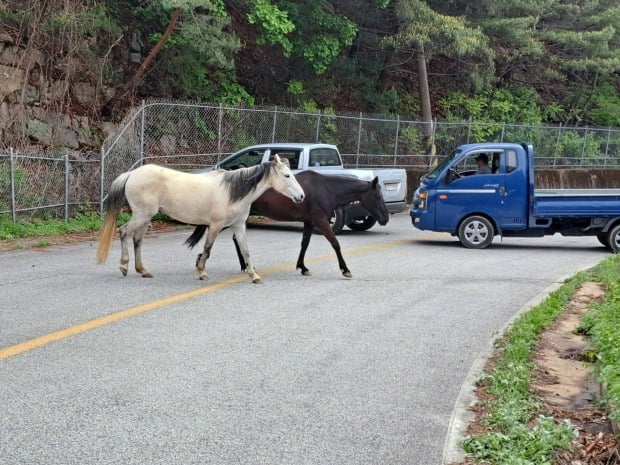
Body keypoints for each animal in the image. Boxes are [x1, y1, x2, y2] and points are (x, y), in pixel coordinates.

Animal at [96, 155, 306, 282]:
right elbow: (207, 249)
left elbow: (246, 251)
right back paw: (124, 266)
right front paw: (202, 272)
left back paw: (143, 270)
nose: (301, 196)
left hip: (145, 217)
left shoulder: (239, 226)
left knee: (137, 240)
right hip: (142, 215)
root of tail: (131, 174)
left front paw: (253, 275)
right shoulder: (215, 226)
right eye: (287, 175)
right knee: (123, 232)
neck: (232, 192)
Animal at [184, 171, 388, 278]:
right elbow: (335, 243)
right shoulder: (321, 221)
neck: (326, 189)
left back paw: (245, 266)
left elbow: (305, 244)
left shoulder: (309, 222)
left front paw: (302, 267)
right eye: (378, 196)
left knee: (235, 238)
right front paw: (345, 269)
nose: (385, 218)